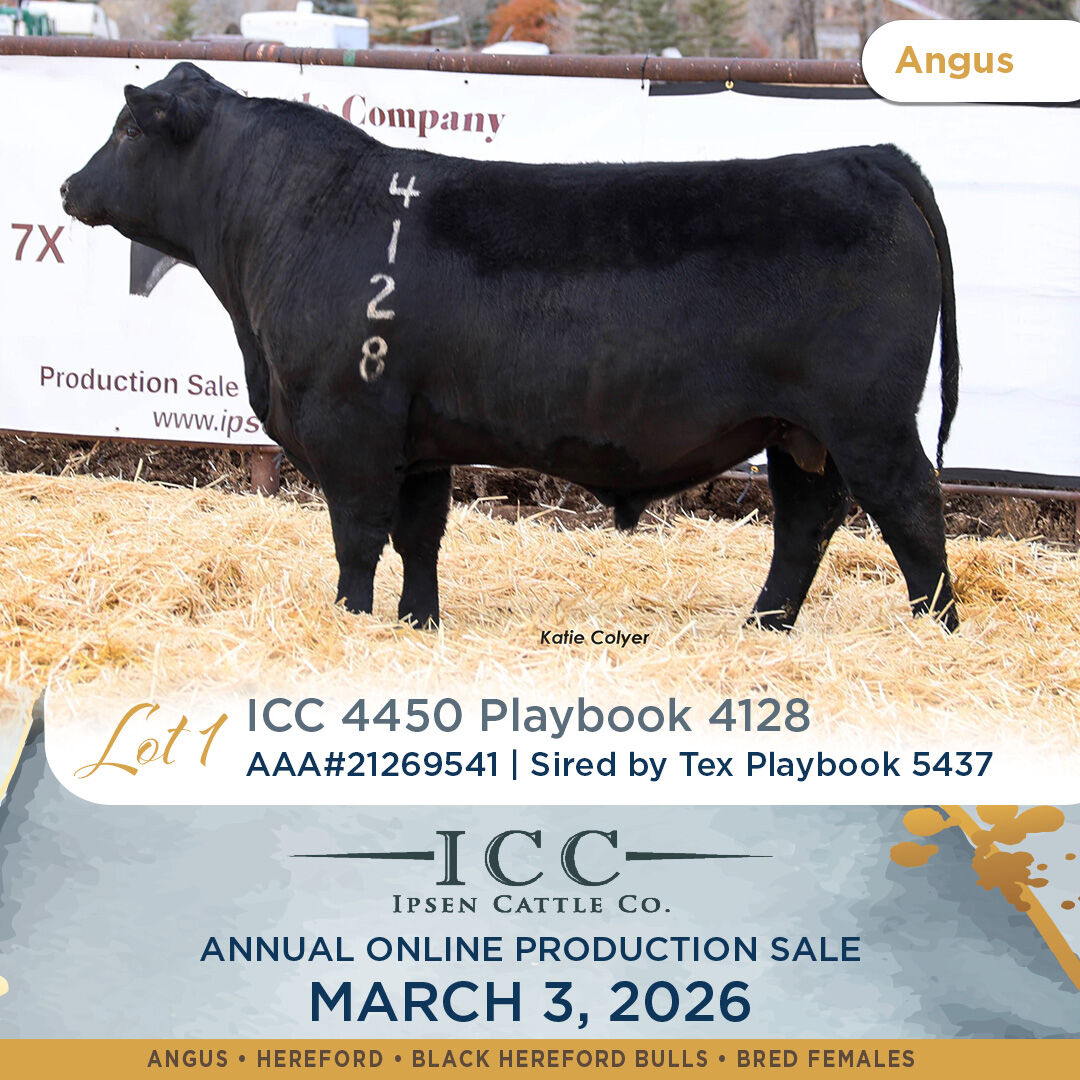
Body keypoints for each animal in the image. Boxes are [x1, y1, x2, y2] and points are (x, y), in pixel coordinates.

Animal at [62, 63, 960, 632]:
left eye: (130, 127)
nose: (69, 186)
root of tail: (861, 156)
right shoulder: (419, 439)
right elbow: (418, 538)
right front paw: (416, 624)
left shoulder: (351, 424)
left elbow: (357, 537)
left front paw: (350, 623)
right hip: (797, 431)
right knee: (806, 524)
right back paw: (763, 627)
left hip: (868, 418)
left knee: (912, 508)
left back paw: (937, 631)